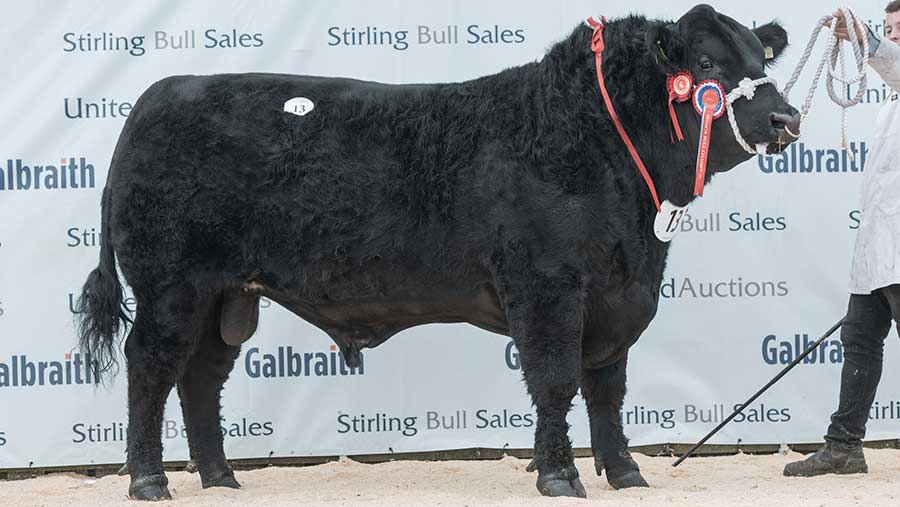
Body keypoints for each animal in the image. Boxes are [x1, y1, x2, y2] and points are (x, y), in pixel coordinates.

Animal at [77, 3, 800, 502]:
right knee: (150, 366)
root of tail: (159, 96)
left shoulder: (619, 294)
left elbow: (609, 388)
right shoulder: (548, 288)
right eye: (707, 67)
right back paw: (148, 479)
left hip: (227, 295)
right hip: (172, 284)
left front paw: (624, 471)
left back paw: (221, 477)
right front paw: (559, 475)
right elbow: (558, 381)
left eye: (761, 62)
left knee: (201, 375)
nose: (786, 118)